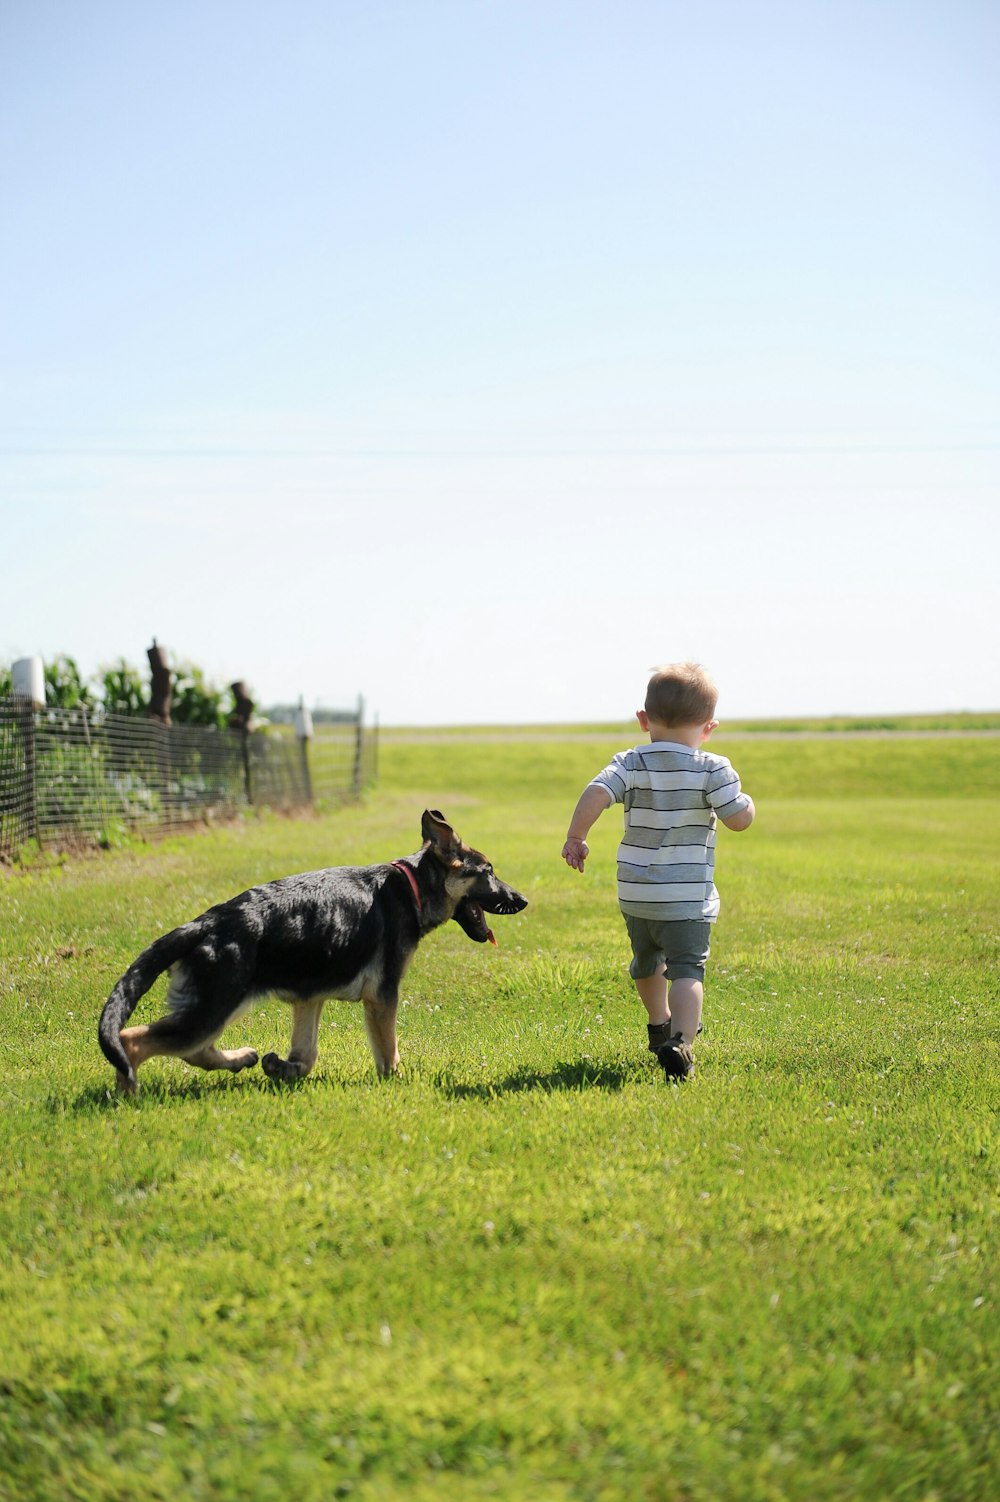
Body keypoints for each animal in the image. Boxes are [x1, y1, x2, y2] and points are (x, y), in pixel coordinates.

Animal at [97, 811, 525, 1093]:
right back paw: (128, 1093)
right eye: (488, 872)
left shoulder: (310, 998)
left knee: (192, 1050)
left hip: (213, 1006)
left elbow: (307, 1055)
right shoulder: (382, 996)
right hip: (215, 1005)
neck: (413, 886)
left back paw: (242, 1059)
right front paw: (398, 1085)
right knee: (134, 1040)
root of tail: (205, 923)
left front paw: (283, 1069)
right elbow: (389, 1052)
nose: (522, 900)